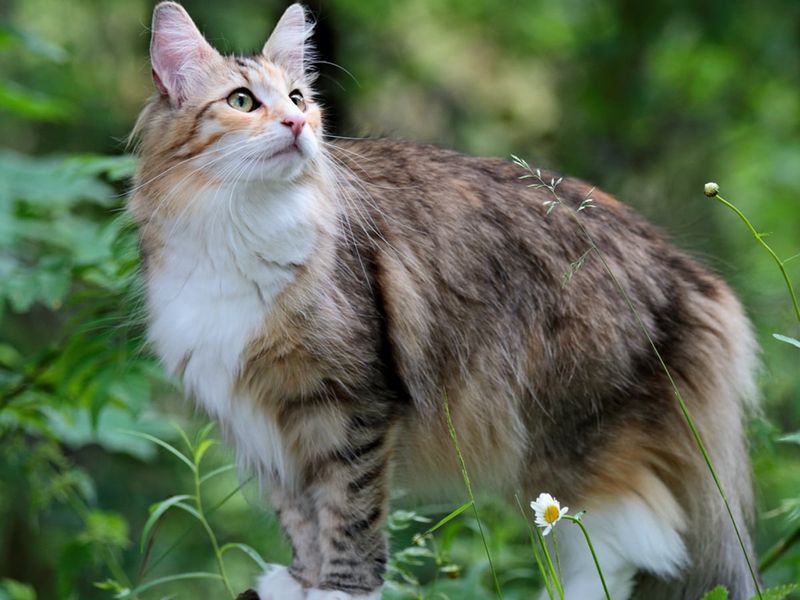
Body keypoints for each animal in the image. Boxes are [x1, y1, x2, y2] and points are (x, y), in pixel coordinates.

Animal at [128, 2, 760, 596]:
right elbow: (300, 516)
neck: (237, 223)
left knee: (614, 548)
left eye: (298, 97)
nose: (296, 122)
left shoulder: (349, 403)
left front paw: (338, 589)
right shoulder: (261, 417)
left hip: (572, 435)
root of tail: (689, 272)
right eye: (241, 100)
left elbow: (348, 511)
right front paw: (303, 580)